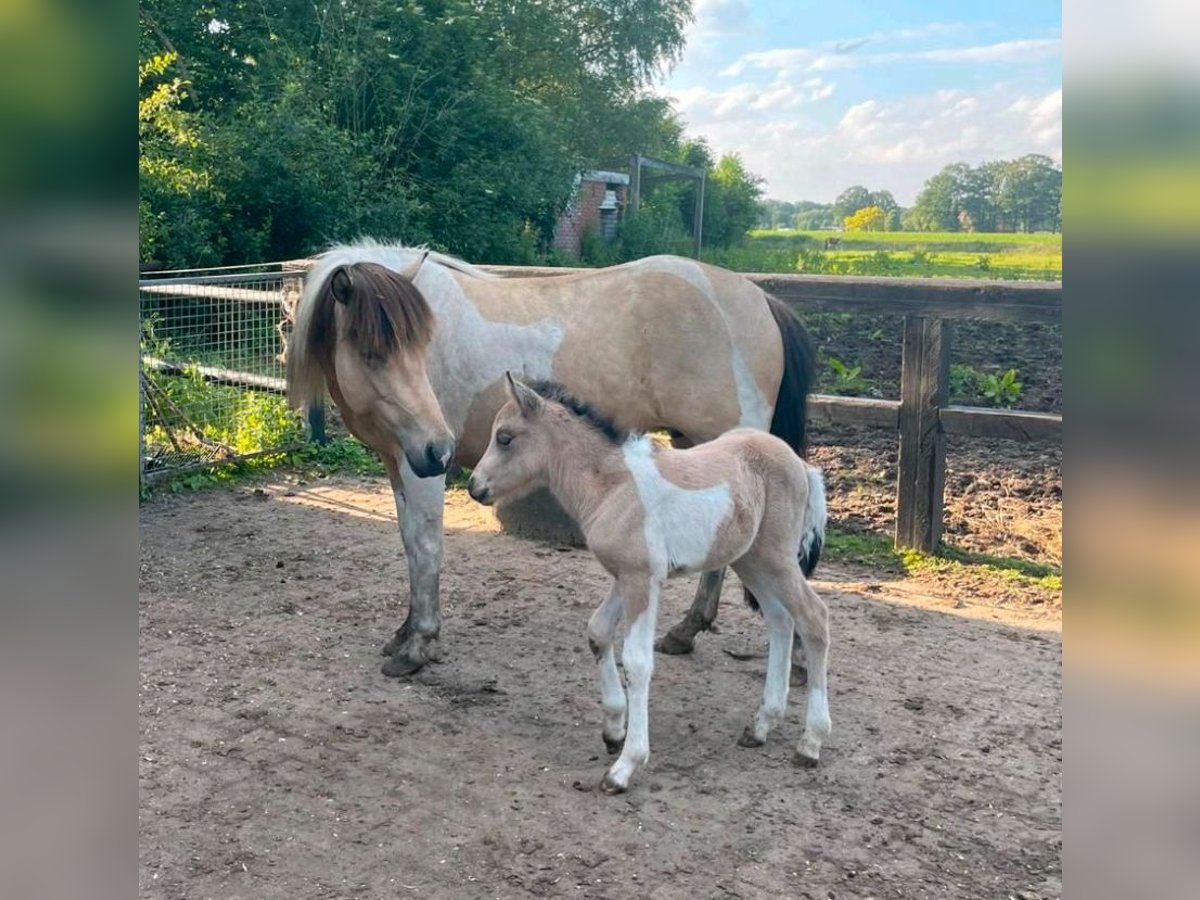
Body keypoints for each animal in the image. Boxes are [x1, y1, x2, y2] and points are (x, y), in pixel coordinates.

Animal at [289, 240, 816, 676]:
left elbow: (425, 546)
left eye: (421, 348)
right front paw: (404, 632)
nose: (440, 446)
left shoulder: (420, 466)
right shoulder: (401, 459)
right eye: (372, 354)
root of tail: (761, 301)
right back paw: (686, 633)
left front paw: (418, 645)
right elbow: (408, 543)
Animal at [470, 376, 835, 792]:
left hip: (777, 557)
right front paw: (614, 729)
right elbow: (597, 631)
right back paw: (761, 726)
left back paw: (811, 742)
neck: (612, 486)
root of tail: (803, 465)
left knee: (813, 618)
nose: (474, 487)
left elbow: (637, 661)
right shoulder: (624, 575)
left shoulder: (641, 579)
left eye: (505, 438)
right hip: (752, 560)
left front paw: (625, 766)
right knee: (780, 620)